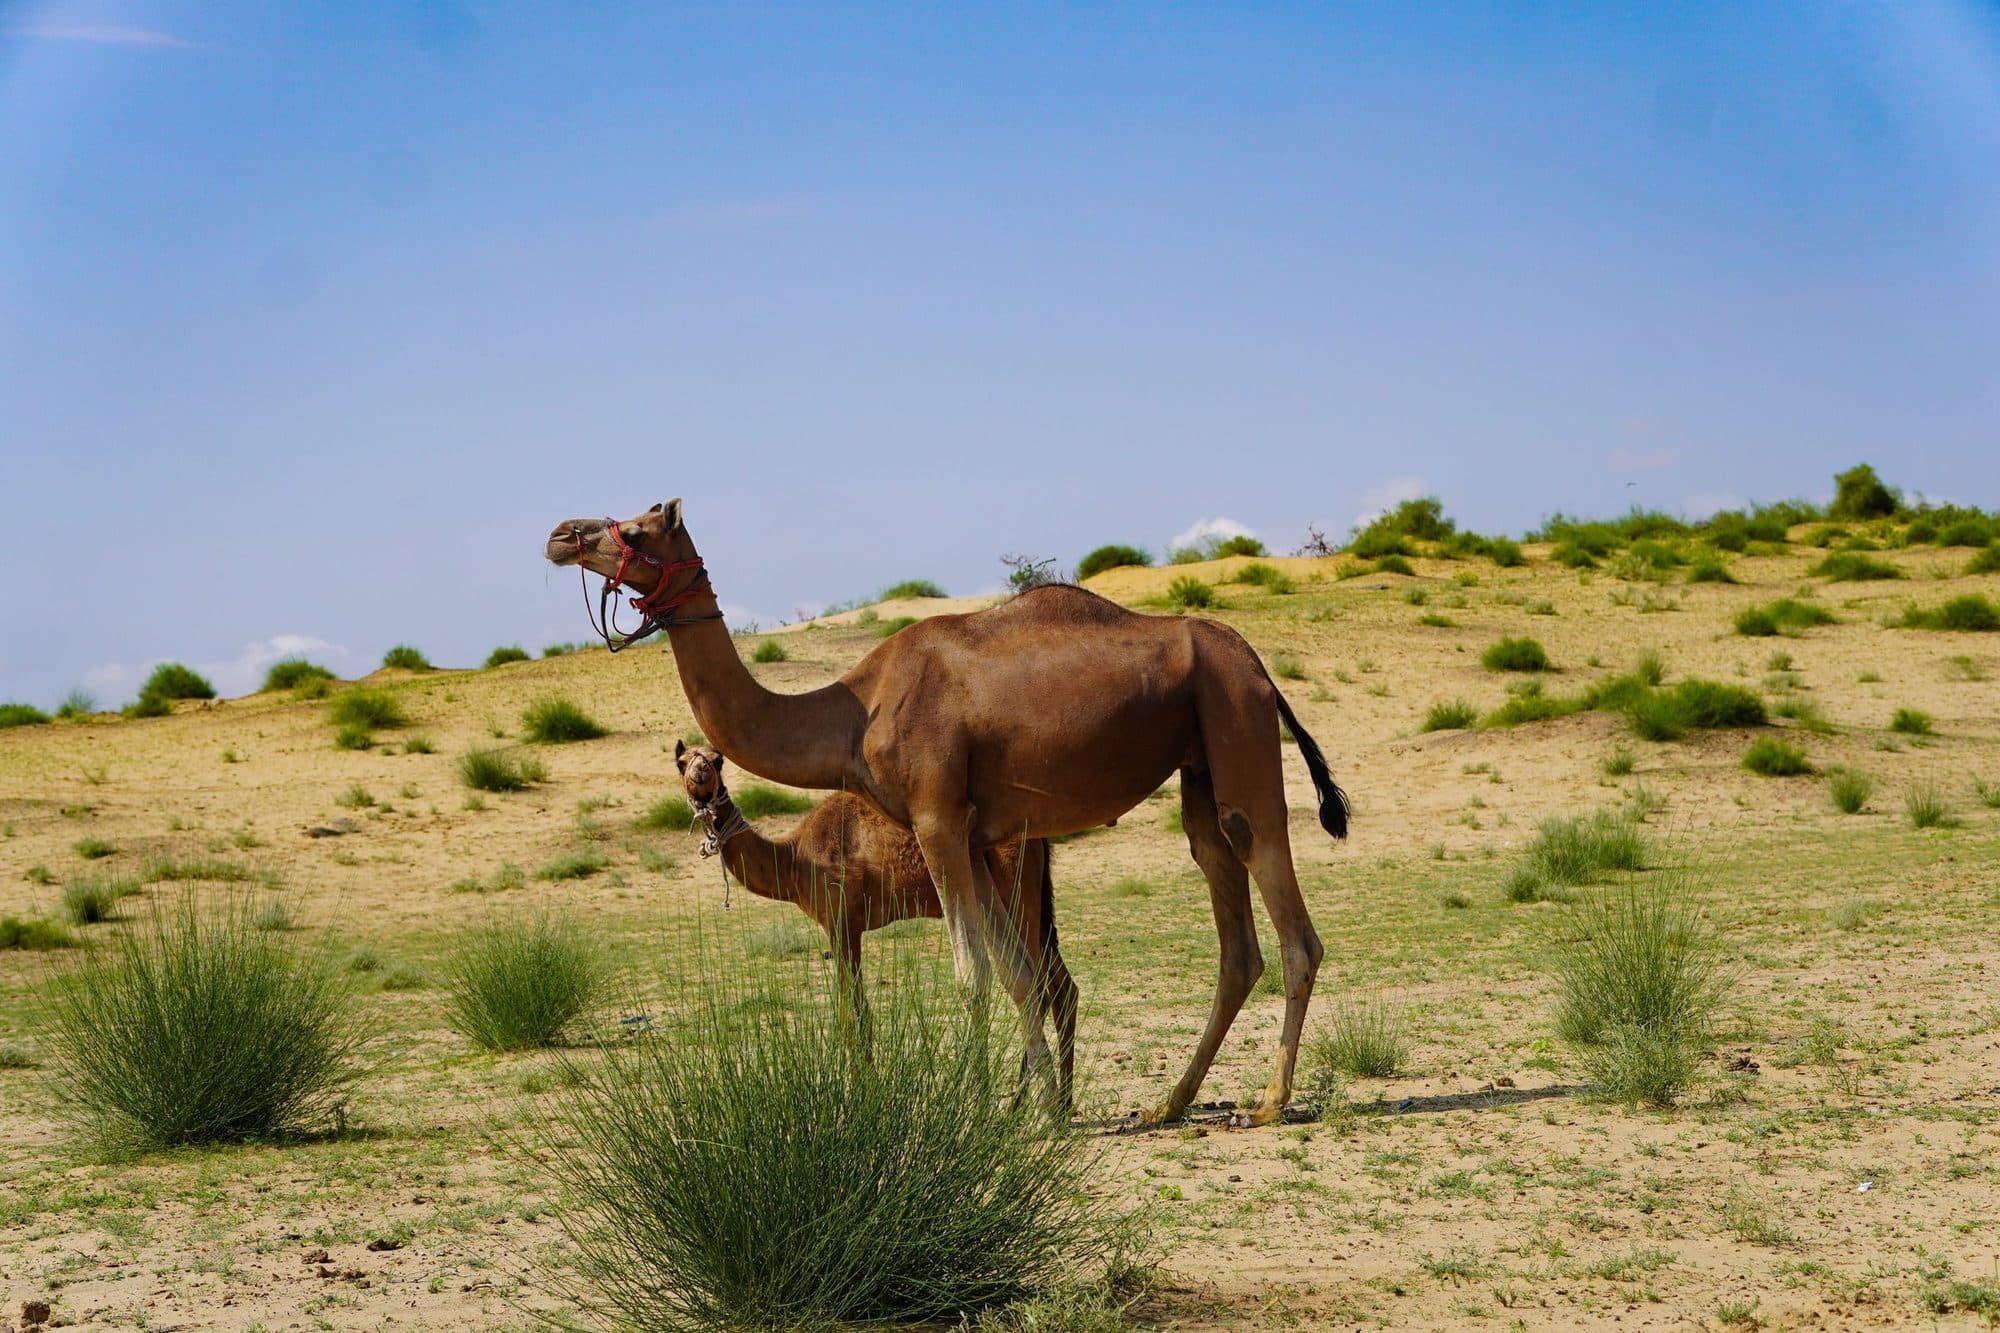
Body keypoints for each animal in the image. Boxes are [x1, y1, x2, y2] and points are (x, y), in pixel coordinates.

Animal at [673, 740, 1078, 1111]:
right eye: (681, 761)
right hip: (1031, 899)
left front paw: (862, 1097)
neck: (793, 859)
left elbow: (851, 1013)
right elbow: (856, 1010)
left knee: (1041, 984)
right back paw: (1056, 1104)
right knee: (1059, 984)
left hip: (1017, 889)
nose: (701, 774)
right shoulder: (844, 926)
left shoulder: (840, 921)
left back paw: (1036, 1104)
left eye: (718, 759)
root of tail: (1041, 838)